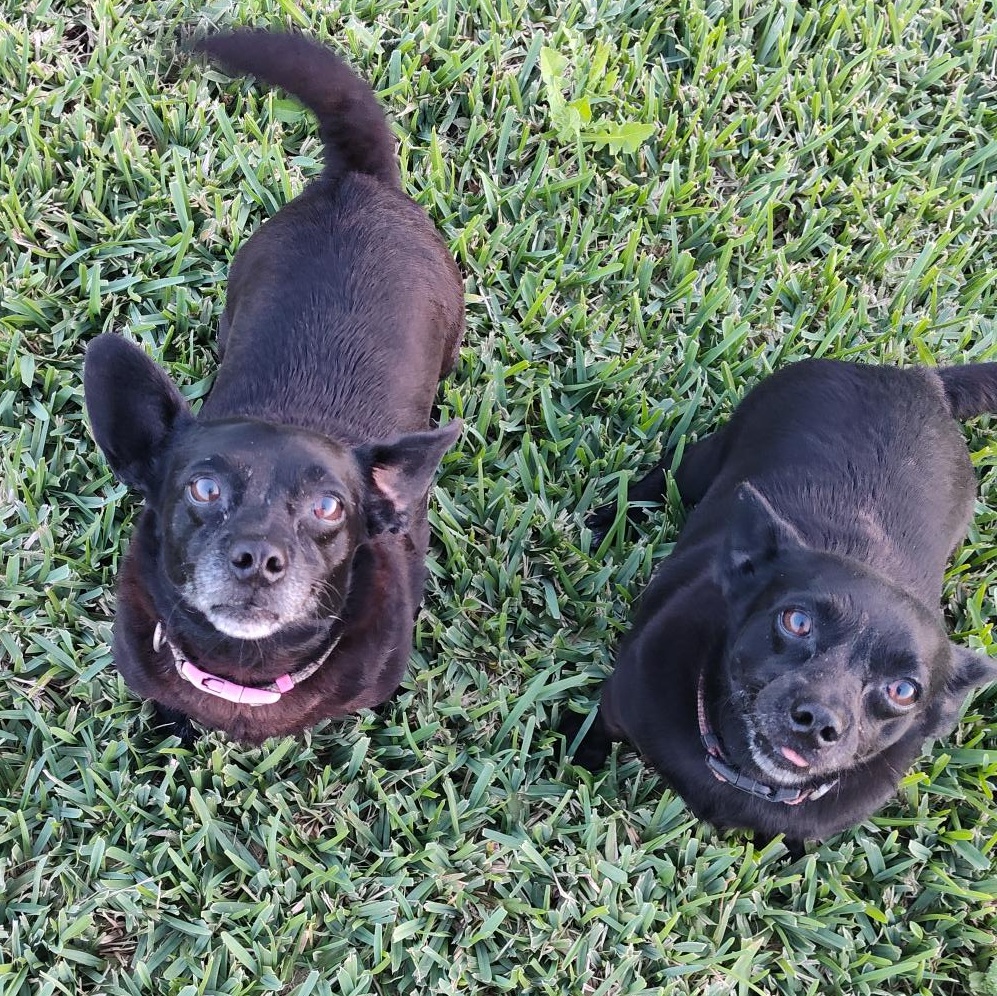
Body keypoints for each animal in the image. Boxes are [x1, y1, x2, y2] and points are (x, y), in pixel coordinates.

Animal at [568, 362, 996, 852]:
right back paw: (610, 516)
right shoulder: (617, 707)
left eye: (903, 690)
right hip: (709, 454)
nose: (818, 723)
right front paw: (578, 754)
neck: (741, 770)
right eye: (797, 621)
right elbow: (592, 732)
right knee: (669, 471)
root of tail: (919, 378)